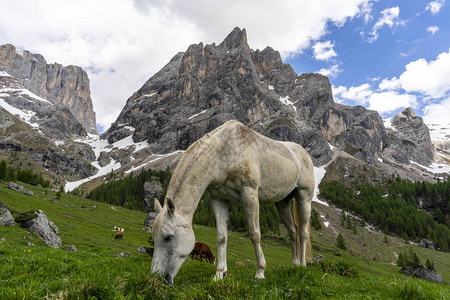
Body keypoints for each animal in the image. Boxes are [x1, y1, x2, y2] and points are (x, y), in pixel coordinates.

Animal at [151, 120, 312, 286]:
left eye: (168, 237)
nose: (157, 277)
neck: (223, 153)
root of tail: (303, 152)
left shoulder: (249, 194)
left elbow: (255, 233)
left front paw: (260, 272)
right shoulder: (219, 199)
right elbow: (221, 236)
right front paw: (219, 274)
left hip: (304, 197)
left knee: (303, 232)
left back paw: (303, 265)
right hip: (282, 203)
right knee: (293, 232)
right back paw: (294, 264)